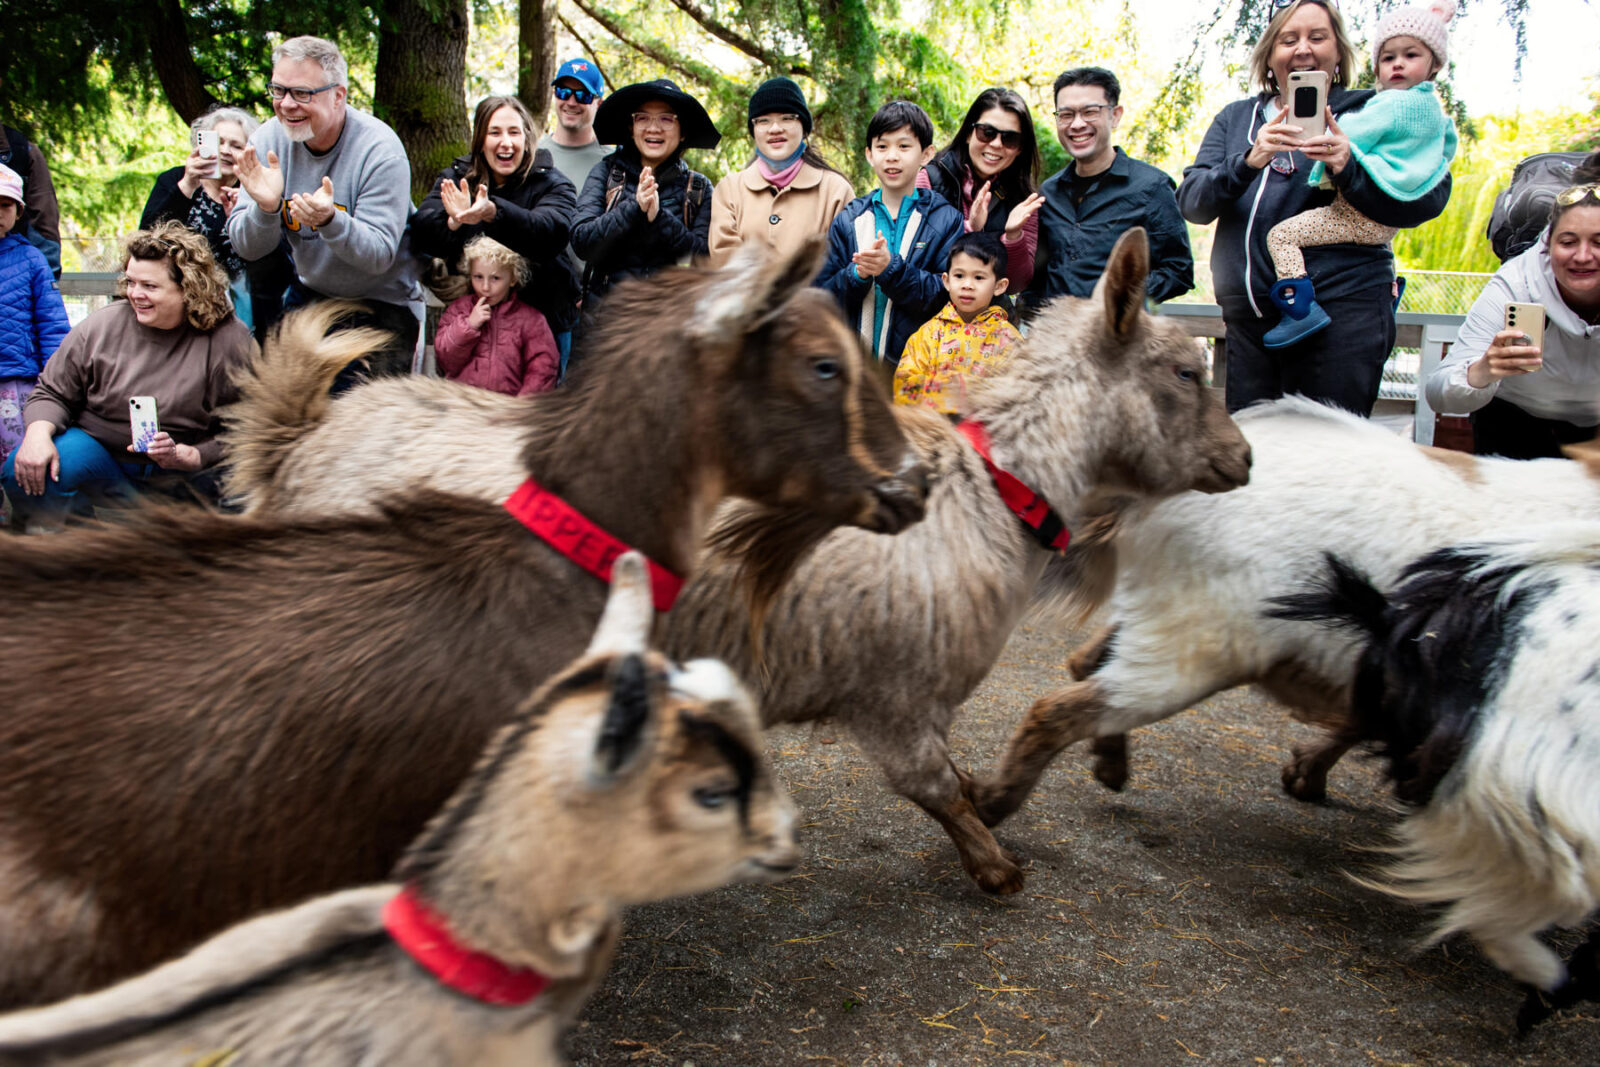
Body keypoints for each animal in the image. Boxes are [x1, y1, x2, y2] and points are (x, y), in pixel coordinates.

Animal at [966, 396, 1600, 825]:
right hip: (1200, 644)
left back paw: (1106, 762)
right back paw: (996, 803)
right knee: (1060, 706)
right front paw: (1312, 775)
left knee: (1088, 666)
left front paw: (1307, 773)